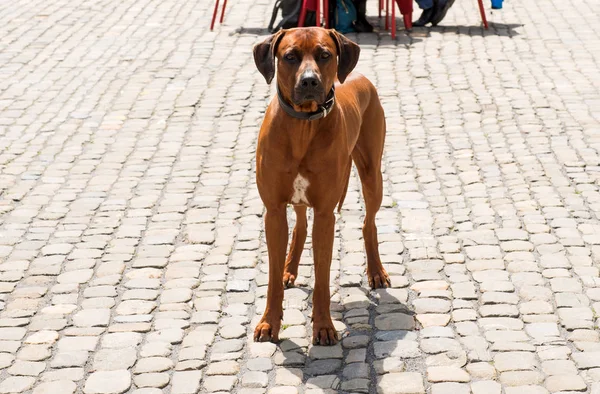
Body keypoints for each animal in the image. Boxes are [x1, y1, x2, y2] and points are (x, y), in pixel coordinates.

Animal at [252, 27, 390, 344]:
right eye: (290, 56)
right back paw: (290, 270)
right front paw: (268, 322)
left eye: (325, 54)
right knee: (301, 226)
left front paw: (324, 326)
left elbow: (323, 276)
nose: (309, 81)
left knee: (369, 223)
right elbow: (272, 277)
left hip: (371, 174)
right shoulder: (273, 211)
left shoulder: (326, 214)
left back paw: (376, 271)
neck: (303, 125)